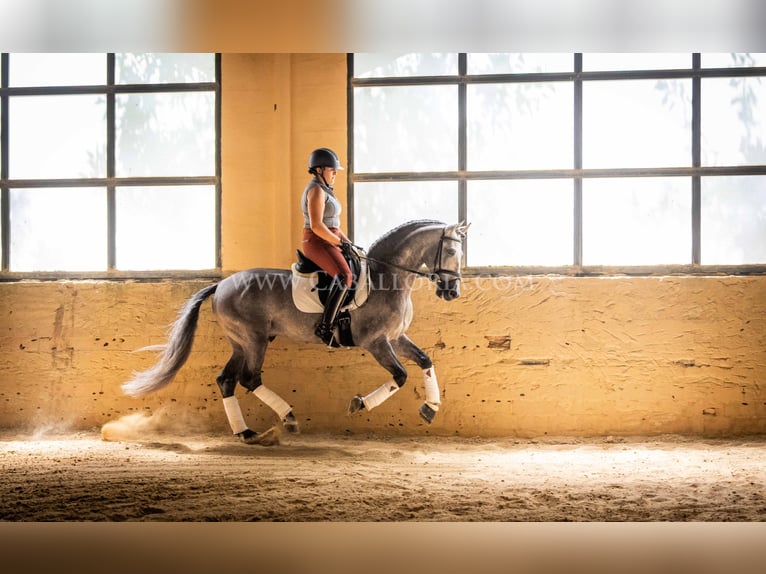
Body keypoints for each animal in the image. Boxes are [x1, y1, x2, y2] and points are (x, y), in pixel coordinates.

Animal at [121, 220, 468, 446]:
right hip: (254, 340)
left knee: (227, 380)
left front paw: (430, 408)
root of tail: (221, 285)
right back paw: (286, 418)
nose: (452, 292)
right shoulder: (377, 342)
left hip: (240, 342)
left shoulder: (395, 337)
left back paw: (246, 432)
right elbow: (400, 375)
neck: (387, 277)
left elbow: (424, 360)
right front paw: (359, 404)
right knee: (249, 379)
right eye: (452, 253)